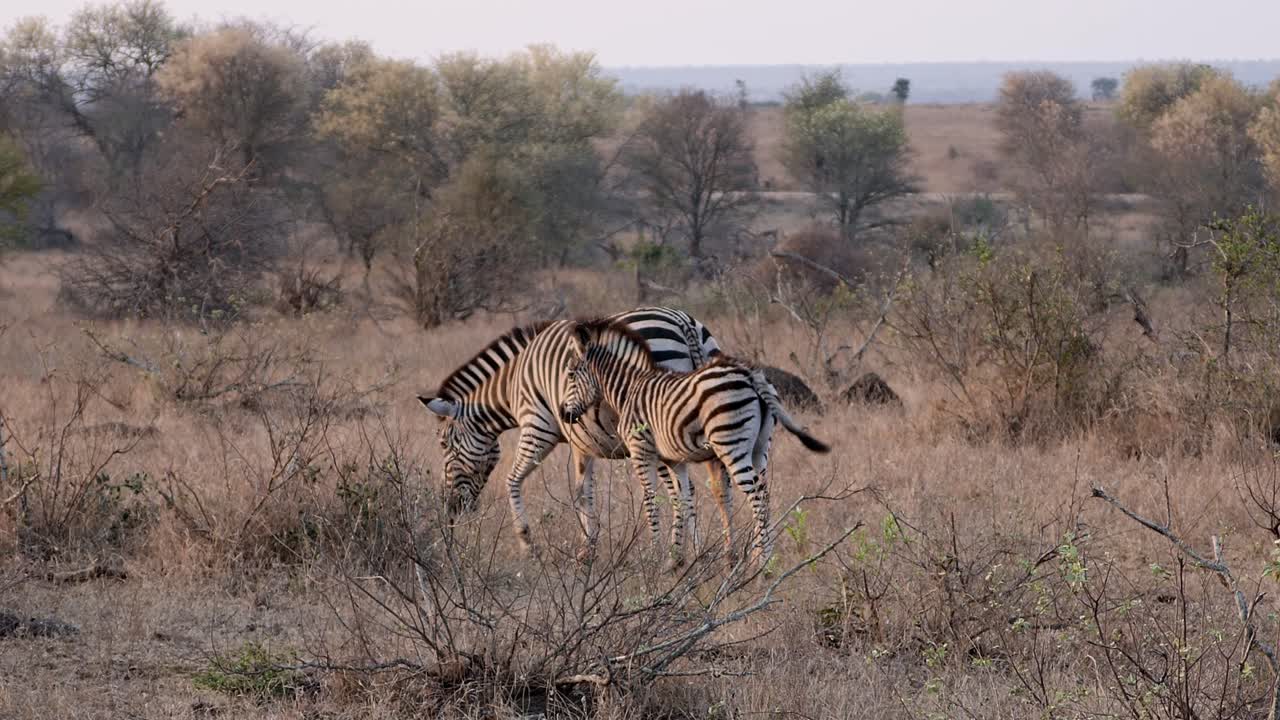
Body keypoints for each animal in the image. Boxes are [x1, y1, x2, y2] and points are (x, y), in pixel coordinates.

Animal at [416, 307, 732, 556]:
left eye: (444, 444)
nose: (450, 508)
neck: (511, 384)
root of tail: (683, 322)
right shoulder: (582, 441)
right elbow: (583, 491)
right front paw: (587, 548)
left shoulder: (537, 426)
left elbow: (512, 480)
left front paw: (528, 543)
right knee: (716, 483)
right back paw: (714, 553)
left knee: (680, 489)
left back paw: (680, 552)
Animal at [558, 318, 830, 565]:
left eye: (570, 374)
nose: (563, 414)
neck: (628, 389)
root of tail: (749, 374)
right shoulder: (674, 459)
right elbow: (684, 498)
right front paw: (681, 560)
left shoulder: (641, 450)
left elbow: (651, 501)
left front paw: (655, 558)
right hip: (760, 446)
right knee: (765, 491)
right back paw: (762, 555)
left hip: (731, 445)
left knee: (757, 495)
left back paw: (763, 562)